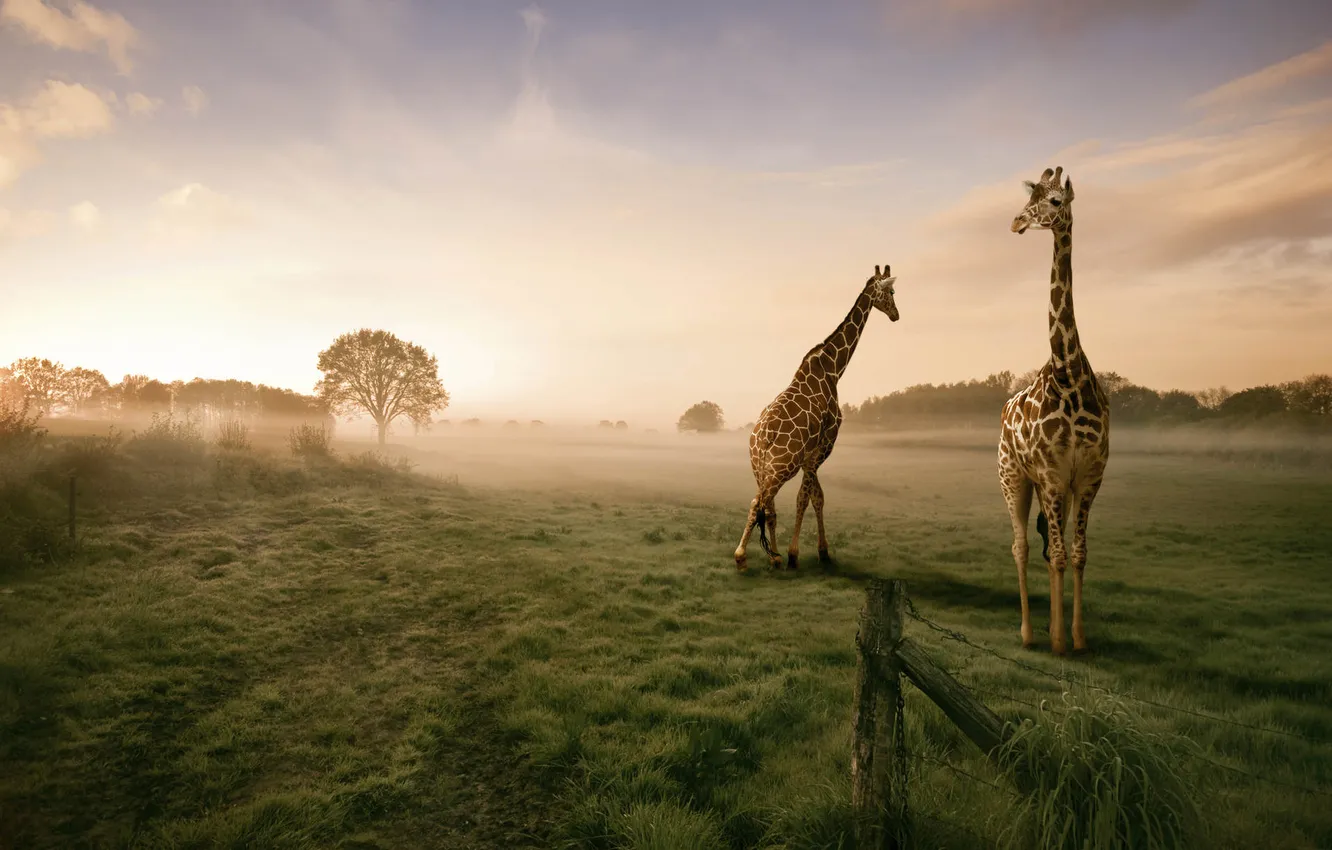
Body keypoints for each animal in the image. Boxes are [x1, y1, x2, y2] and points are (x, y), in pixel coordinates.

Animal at [734, 263, 900, 571]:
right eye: (892, 292)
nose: (896, 314)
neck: (834, 368)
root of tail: (762, 436)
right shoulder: (822, 447)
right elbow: (807, 498)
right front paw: (799, 553)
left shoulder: (810, 456)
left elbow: (815, 496)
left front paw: (814, 551)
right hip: (781, 465)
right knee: (758, 502)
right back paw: (742, 557)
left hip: (759, 466)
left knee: (767, 504)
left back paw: (772, 557)